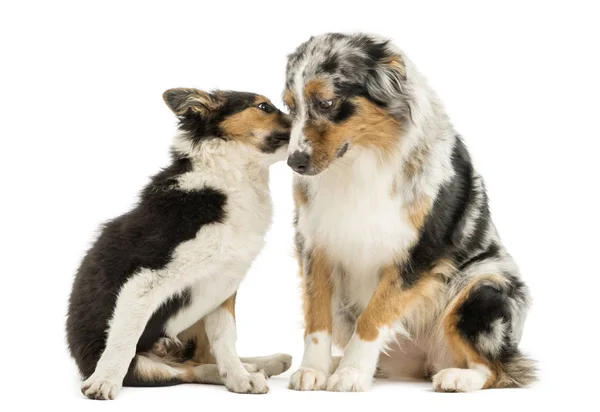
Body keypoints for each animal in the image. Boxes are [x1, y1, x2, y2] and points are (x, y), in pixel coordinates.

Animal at [67, 87, 292, 400]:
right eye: (263, 107)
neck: (232, 179)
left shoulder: (224, 285)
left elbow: (226, 339)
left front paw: (240, 378)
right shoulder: (146, 277)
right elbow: (124, 338)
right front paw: (104, 381)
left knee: (199, 362)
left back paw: (261, 365)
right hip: (149, 368)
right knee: (187, 370)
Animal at [284, 33, 536, 392]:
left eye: (327, 103)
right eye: (290, 107)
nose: (294, 161)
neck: (361, 160)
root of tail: (424, 361)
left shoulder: (420, 253)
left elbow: (374, 316)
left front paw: (351, 373)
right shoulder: (314, 242)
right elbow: (317, 316)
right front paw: (313, 369)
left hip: (481, 291)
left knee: (497, 367)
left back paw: (457, 377)